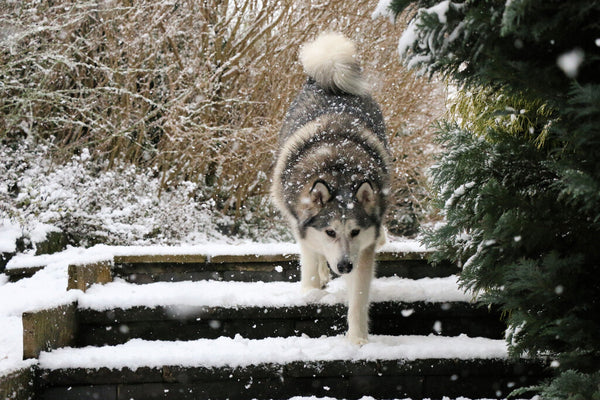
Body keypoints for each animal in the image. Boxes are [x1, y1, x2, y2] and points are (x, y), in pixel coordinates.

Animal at [270, 32, 392, 344]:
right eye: (330, 232)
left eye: (355, 232)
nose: (344, 266)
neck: (338, 168)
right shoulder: (302, 226)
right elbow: (310, 258)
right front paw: (311, 292)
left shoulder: (363, 250)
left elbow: (358, 297)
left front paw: (358, 341)